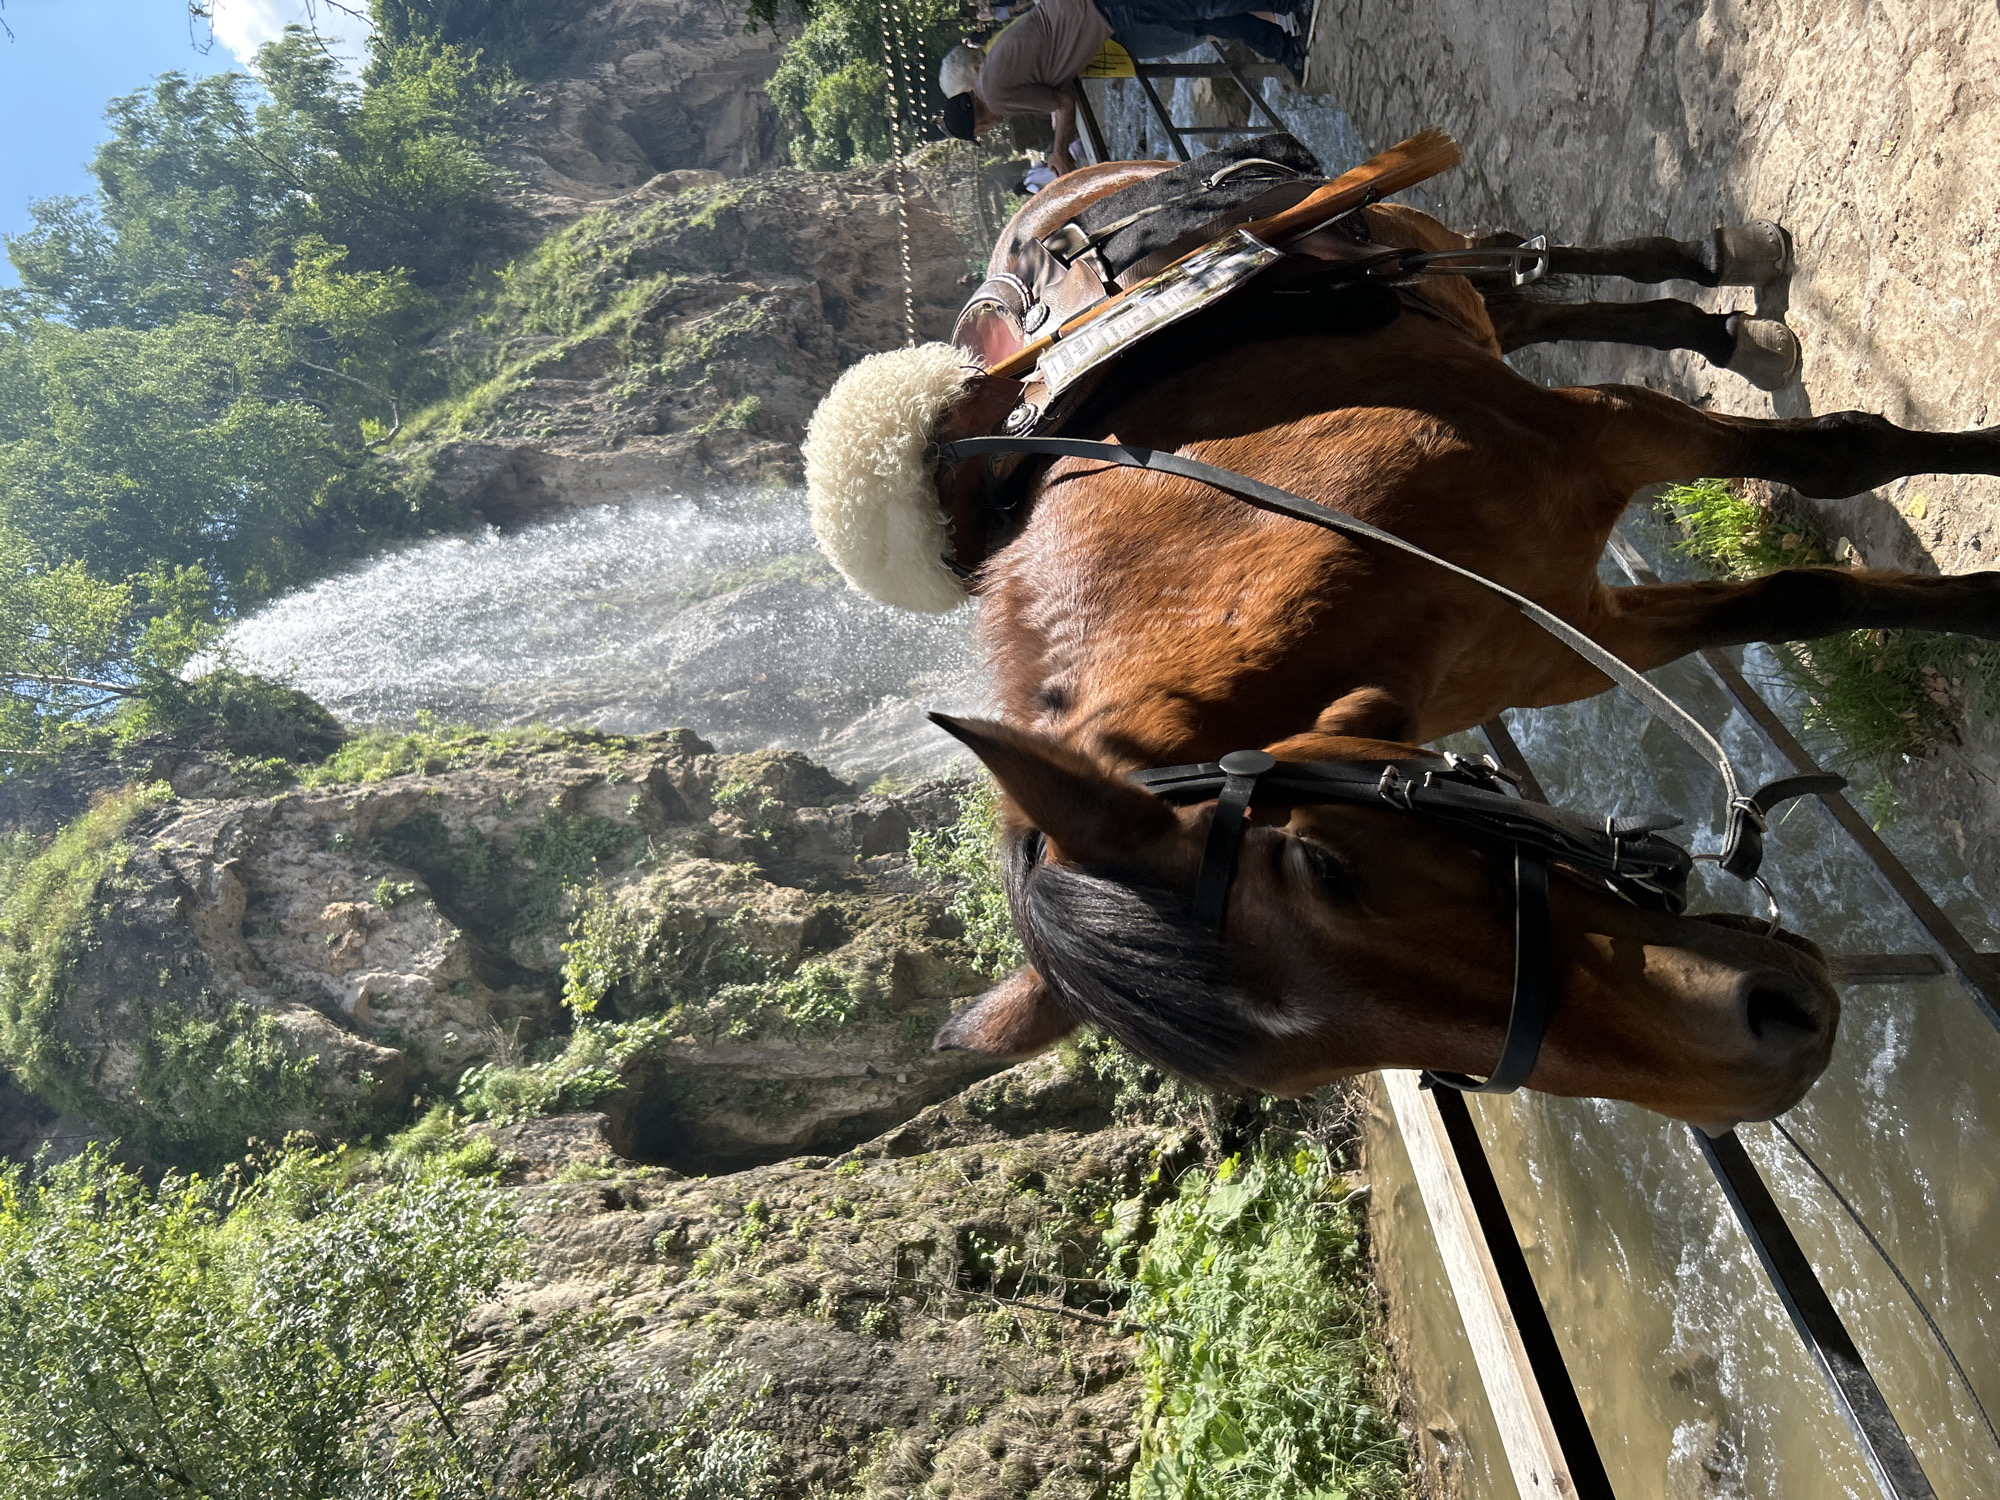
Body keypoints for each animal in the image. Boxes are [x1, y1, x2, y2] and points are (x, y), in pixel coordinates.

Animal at [803, 153, 2000, 1133]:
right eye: (1309, 1073)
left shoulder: (1604, 433)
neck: (1262, 532)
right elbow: (1800, 600)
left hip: (1408, 237)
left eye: (1326, 864)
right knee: (1525, 302)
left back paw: (1721, 280)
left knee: (1525, 255)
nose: (1769, 1045)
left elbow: (1841, 459)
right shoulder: (1581, 631)